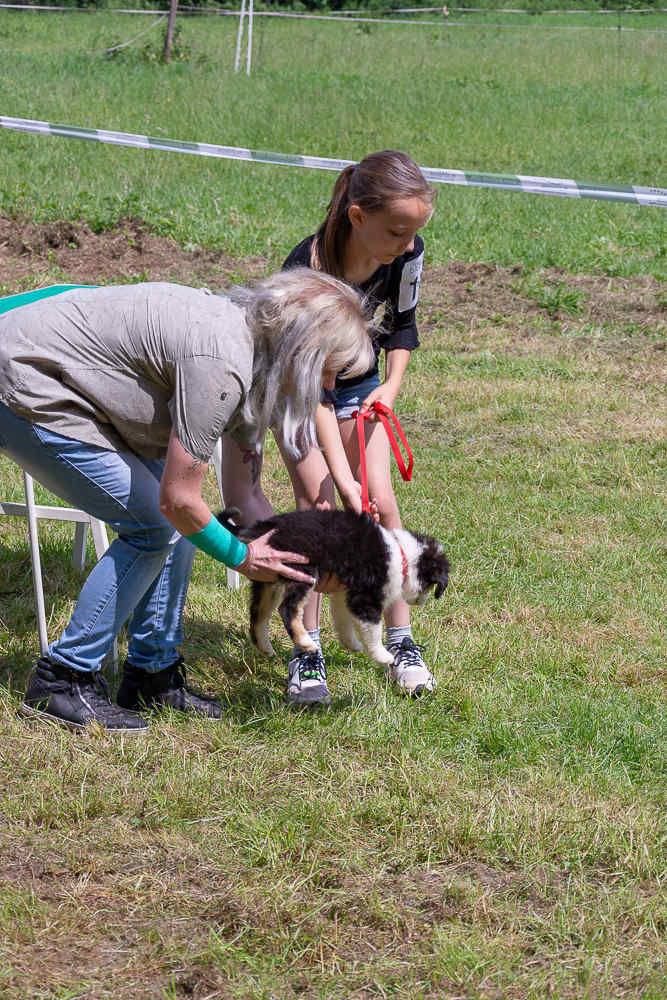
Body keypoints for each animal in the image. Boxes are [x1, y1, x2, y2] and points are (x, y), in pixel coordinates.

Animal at [218, 512, 448, 668]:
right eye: (432, 585)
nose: (423, 602)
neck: (402, 556)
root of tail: (265, 528)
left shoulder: (343, 595)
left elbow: (343, 622)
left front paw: (352, 645)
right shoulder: (365, 599)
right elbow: (373, 630)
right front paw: (383, 656)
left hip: (268, 579)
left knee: (258, 615)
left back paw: (265, 646)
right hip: (302, 572)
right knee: (287, 609)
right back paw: (306, 642)